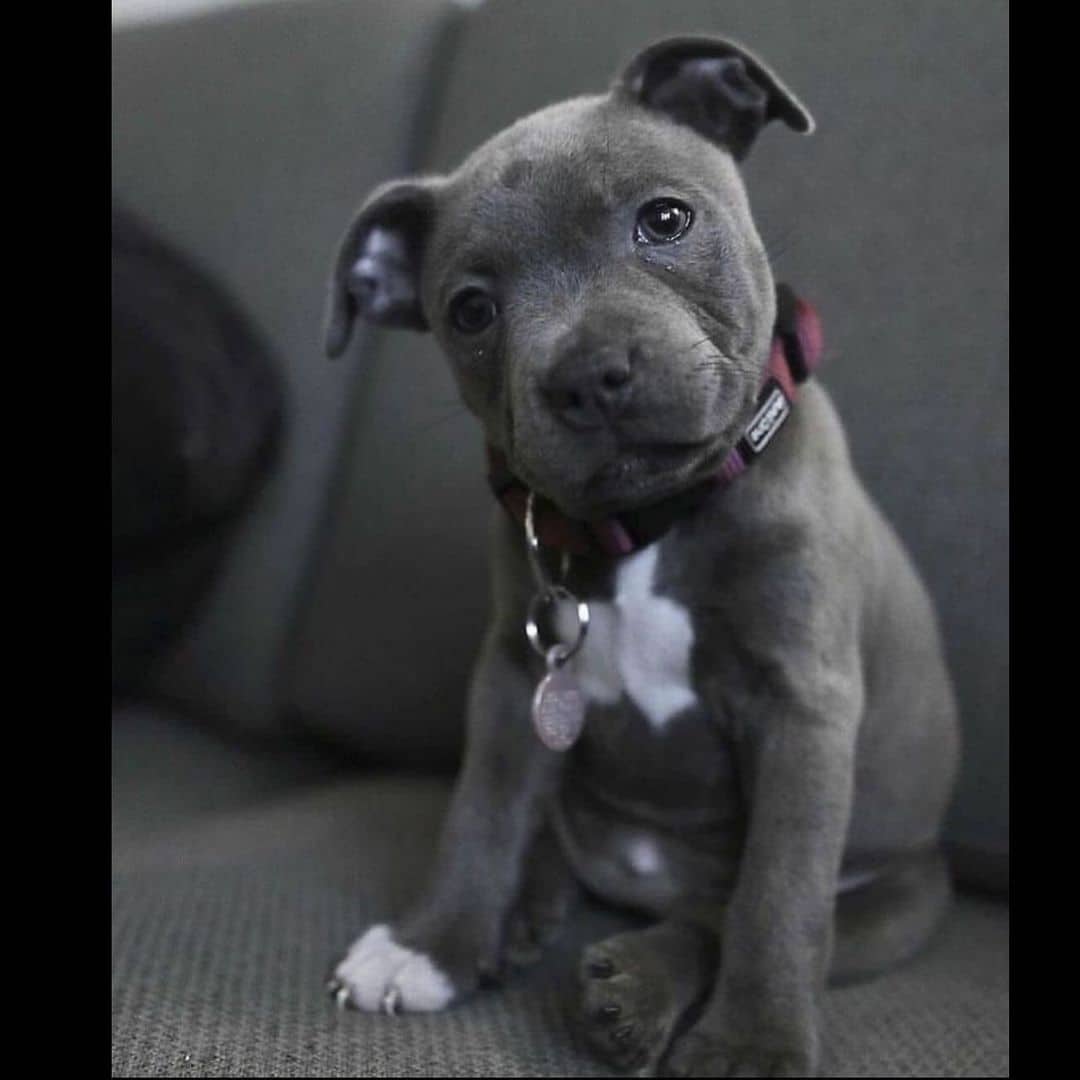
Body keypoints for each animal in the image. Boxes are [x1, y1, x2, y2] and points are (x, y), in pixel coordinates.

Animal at [321, 38, 963, 1075]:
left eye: (665, 219)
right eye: (470, 311)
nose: (588, 376)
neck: (651, 523)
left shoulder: (804, 708)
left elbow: (775, 899)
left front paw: (753, 1042)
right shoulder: (513, 674)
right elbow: (482, 809)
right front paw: (435, 943)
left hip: (897, 902)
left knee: (727, 913)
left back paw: (639, 982)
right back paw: (528, 913)